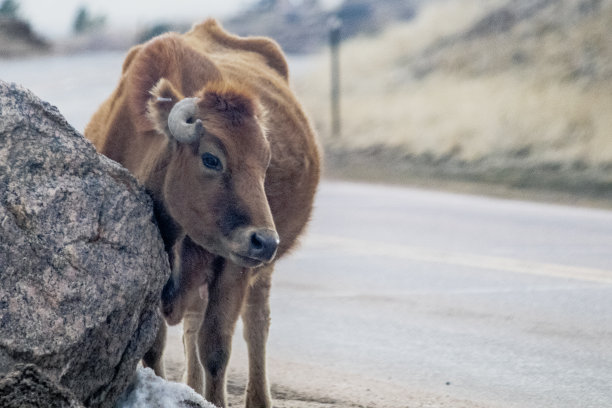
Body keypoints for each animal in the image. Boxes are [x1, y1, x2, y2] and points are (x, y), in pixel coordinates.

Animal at [85, 19, 320, 408]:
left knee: (256, 323)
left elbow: (216, 347)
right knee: (194, 323)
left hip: (259, 272)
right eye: (211, 159)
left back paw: (258, 397)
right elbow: (156, 346)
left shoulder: (234, 268)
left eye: (265, 163)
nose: (264, 241)